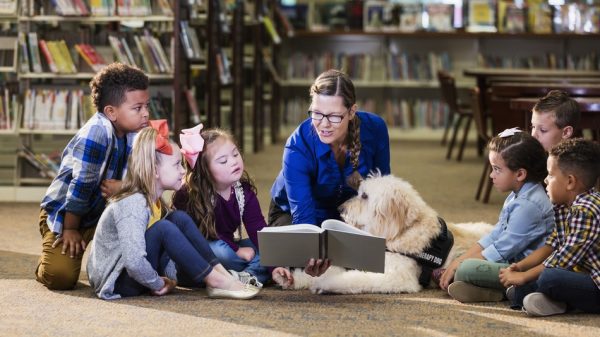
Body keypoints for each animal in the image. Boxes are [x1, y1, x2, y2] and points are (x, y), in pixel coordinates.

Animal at [274, 175, 492, 292]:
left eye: (364, 196)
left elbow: (355, 278)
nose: (341, 208)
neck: (403, 232)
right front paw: (291, 278)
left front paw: (325, 283)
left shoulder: (397, 276)